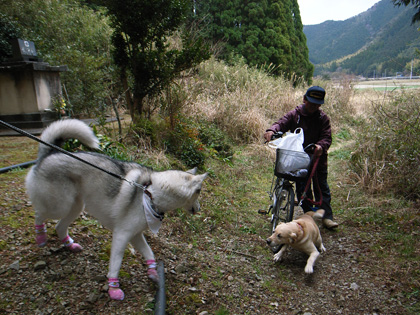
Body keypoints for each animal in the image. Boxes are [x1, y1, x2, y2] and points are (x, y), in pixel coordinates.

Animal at [25, 119, 208, 302]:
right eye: (198, 192)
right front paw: (114, 288)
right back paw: (40, 236)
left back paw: (69, 244)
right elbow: (116, 264)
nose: (199, 209)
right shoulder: (122, 235)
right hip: (59, 205)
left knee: (59, 226)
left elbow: (149, 253)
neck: (151, 193)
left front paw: (153, 272)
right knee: (39, 214)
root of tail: (50, 153)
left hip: (75, 207)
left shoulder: (135, 235)